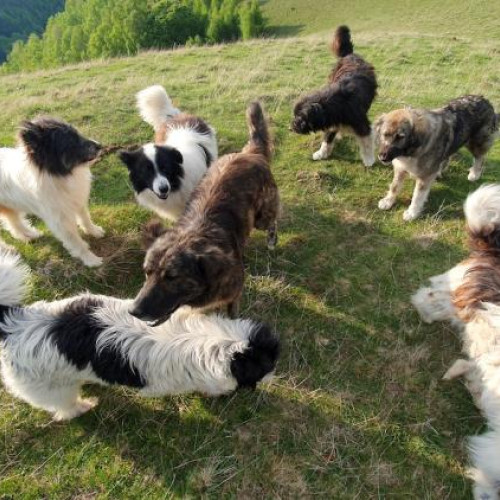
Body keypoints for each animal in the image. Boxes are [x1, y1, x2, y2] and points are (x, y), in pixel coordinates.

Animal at [0, 116, 104, 266]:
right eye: (69, 142)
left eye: (77, 134)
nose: (99, 146)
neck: (58, 174)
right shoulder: (60, 220)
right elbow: (75, 242)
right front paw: (91, 260)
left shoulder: (76, 200)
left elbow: (85, 218)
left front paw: (94, 231)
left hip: (10, 206)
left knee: (13, 222)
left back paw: (30, 235)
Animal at [0, 252, 280, 420]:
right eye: (266, 367)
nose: (274, 378)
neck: (212, 340)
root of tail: (12, 322)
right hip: (51, 389)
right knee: (63, 406)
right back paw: (82, 406)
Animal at [129, 103, 280, 326]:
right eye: (146, 272)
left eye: (172, 277)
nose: (133, 311)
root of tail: (250, 153)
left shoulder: (233, 295)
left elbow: (232, 315)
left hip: (262, 215)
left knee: (273, 220)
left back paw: (271, 240)